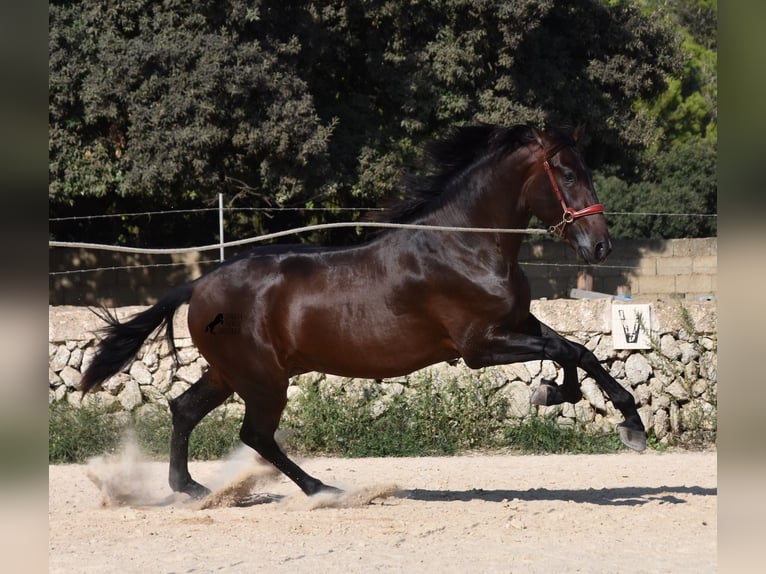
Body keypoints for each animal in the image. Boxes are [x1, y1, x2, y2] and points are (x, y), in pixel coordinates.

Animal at [82, 122, 648, 500]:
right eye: (568, 174)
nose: (601, 246)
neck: (467, 245)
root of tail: (200, 283)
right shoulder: (480, 346)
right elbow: (566, 349)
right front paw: (585, 407)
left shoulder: (515, 323)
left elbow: (578, 350)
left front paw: (598, 409)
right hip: (262, 378)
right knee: (254, 434)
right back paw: (320, 489)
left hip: (231, 373)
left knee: (185, 409)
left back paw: (190, 488)